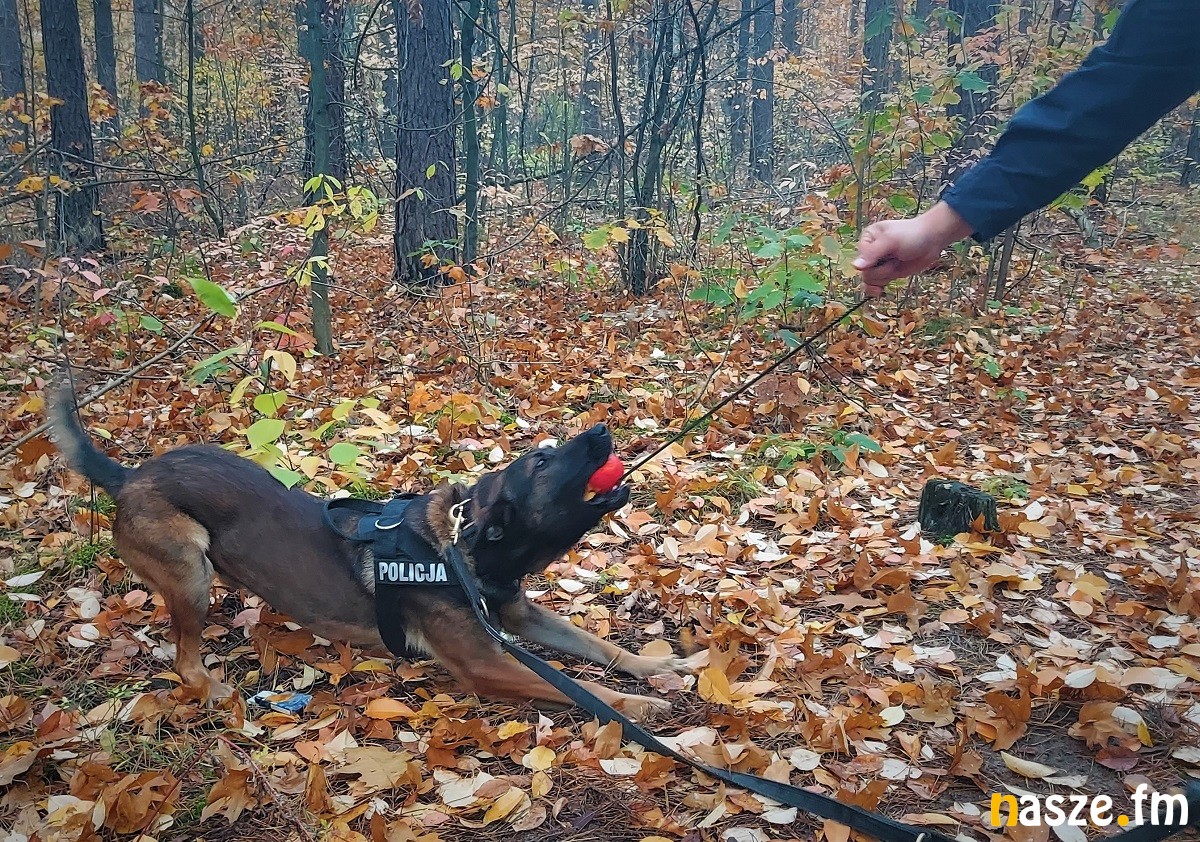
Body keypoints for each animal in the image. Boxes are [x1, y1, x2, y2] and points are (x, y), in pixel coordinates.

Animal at [49, 383, 700, 719]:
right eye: (541, 461)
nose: (604, 430)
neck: (460, 550)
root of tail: (129, 475)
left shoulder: (519, 615)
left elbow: (601, 647)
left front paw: (658, 668)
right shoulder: (484, 664)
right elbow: (576, 685)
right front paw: (632, 706)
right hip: (190, 570)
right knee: (184, 662)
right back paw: (215, 693)